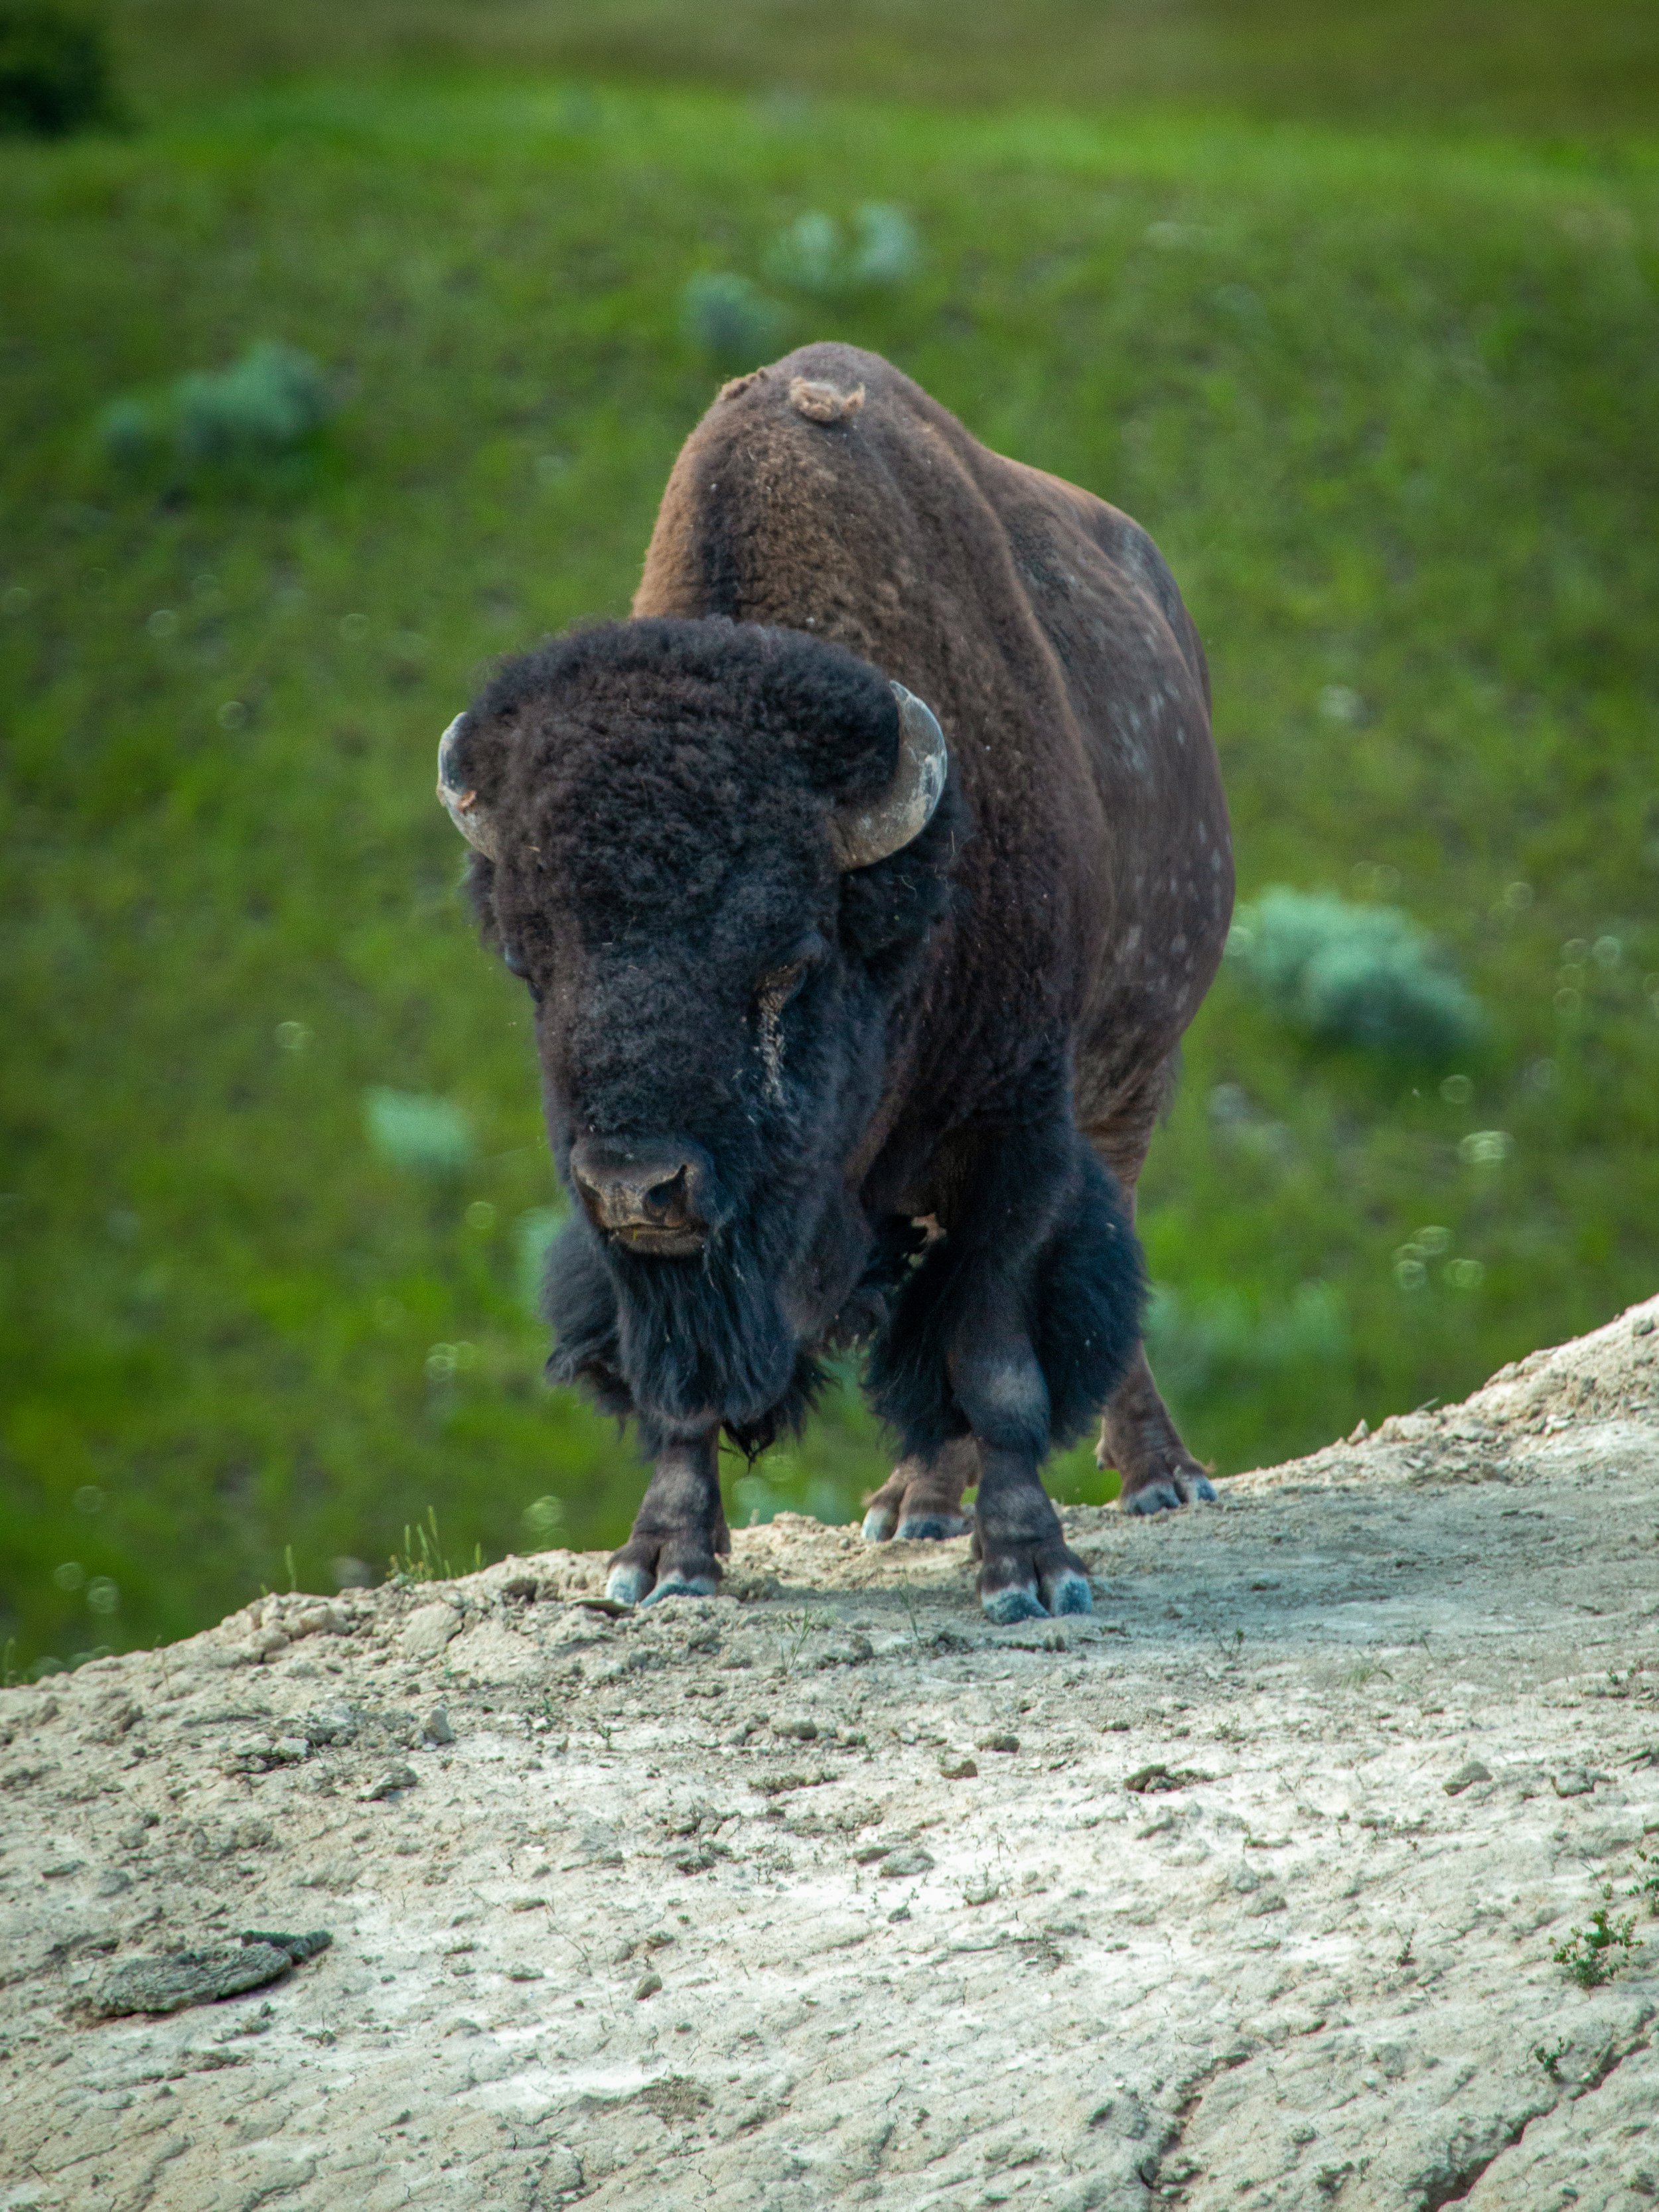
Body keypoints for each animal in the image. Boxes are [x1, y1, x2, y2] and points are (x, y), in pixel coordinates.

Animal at [436, 343, 1232, 1622]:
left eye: (789, 957)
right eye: (528, 960)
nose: (637, 1184)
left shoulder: (1013, 1127)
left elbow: (993, 1353)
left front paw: (1032, 1570)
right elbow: (682, 1383)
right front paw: (664, 1560)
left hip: (1132, 1072)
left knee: (1096, 1266)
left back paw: (1159, 1474)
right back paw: (914, 1505)